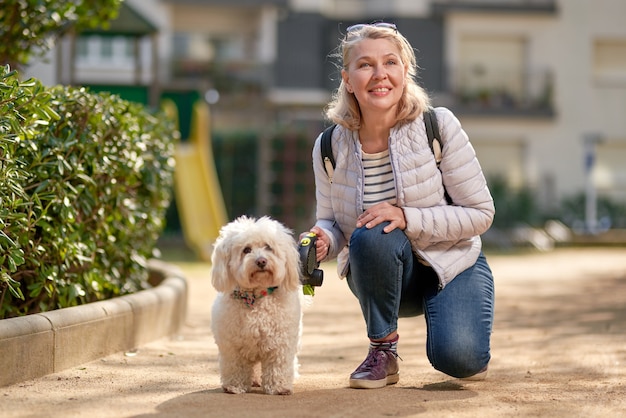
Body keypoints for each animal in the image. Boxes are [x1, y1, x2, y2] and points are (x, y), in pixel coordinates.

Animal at [210, 216, 302, 396]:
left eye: (268, 247)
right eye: (246, 250)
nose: (261, 261)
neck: (255, 297)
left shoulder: (280, 342)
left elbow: (278, 365)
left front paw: (279, 387)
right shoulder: (233, 345)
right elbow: (236, 366)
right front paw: (235, 386)